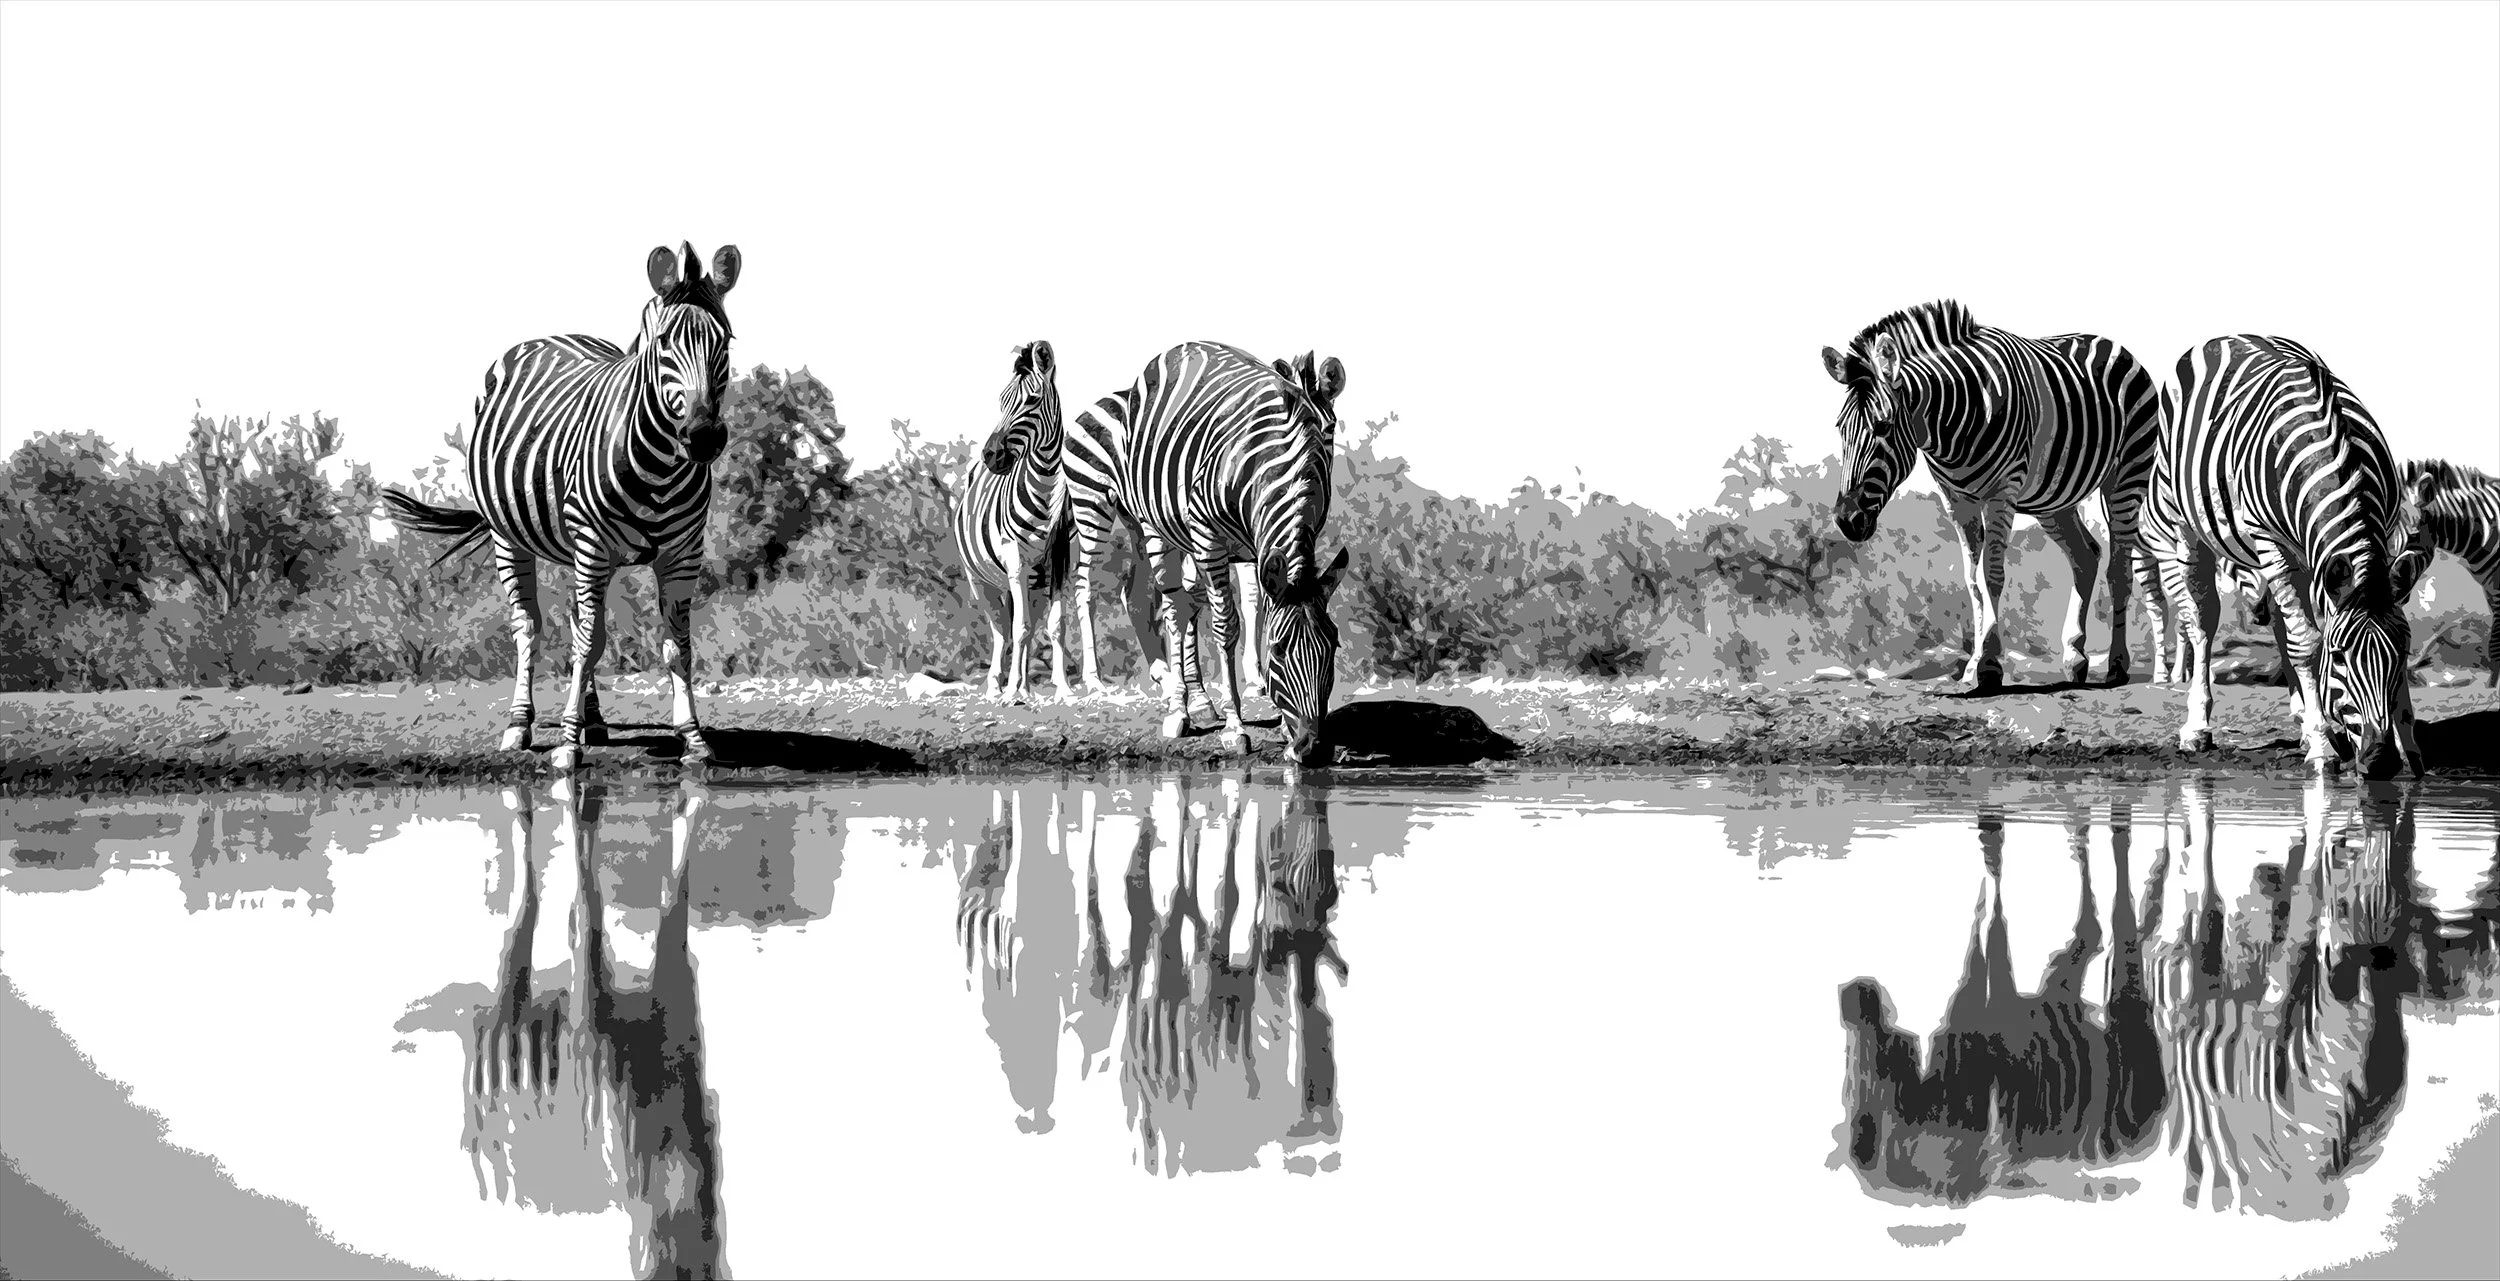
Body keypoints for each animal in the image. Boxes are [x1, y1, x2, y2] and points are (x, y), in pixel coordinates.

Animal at [382, 243, 740, 773]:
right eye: (663, 346)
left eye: (726, 343)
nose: (704, 437)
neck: (660, 467)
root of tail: (554, 334)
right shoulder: (592, 544)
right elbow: (587, 644)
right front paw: (567, 745)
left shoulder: (683, 555)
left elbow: (676, 648)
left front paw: (693, 736)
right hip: (512, 539)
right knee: (529, 629)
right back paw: (520, 725)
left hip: (579, 551)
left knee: (578, 624)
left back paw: (593, 719)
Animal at [951, 341, 1074, 704]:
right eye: (1001, 400)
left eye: (1031, 400)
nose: (991, 455)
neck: (1045, 489)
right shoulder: (1014, 559)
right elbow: (1018, 629)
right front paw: (1010, 691)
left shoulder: (1061, 558)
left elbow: (1054, 626)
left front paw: (1062, 688)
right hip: (981, 580)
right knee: (1001, 630)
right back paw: (999, 685)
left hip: (1032, 581)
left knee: (1025, 626)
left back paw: (1025, 687)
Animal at [1100, 341, 1350, 762]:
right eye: (1278, 652)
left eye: (1333, 646)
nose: (1312, 747)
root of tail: (1182, 347)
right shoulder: (1209, 536)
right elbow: (1226, 625)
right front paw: (1235, 728)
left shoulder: (1281, 542)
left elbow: (1258, 610)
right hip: (1157, 528)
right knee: (1173, 608)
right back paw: (1179, 711)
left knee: (1188, 604)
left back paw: (1197, 702)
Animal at [1821, 301, 2161, 691]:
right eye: (1841, 428)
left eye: (1883, 426)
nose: (1846, 519)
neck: (1951, 424)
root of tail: (2109, 342)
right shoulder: (1956, 499)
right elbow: (1972, 580)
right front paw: (1973, 666)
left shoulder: (2003, 490)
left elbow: (1991, 574)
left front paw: (1989, 666)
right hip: (2055, 498)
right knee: (2086, 557)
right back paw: (2075, 658)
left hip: (2127, 474)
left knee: (2120, 567)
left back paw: (2118, 665)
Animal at [2145, 337, 2432, 777]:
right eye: (2339, 658)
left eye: (2400, 655)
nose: (2380, 761)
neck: (2329, 456)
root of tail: (2228, 336)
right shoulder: (2272, 541)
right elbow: (2307, 643)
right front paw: (2322, 746)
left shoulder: (2369, 538)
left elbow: (2308, 634)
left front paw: (2407, 745)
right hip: (2187, 526)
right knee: (2202, 621)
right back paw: (2197, 727)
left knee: (2282, 621)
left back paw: (2301, 716)